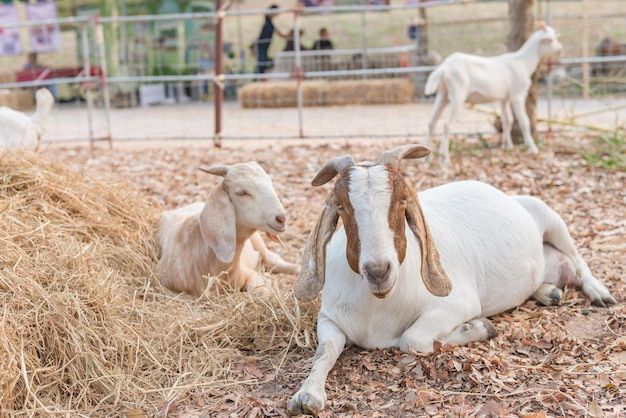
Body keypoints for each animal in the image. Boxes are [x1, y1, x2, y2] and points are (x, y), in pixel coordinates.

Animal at [288, 143, 616, 414]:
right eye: (341, 206)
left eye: (401, 202)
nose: (378, 271)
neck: (377, 307)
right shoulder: (330, 318)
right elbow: (325, 351)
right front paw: (307, 396)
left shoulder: (457, 304)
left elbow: (413, 339)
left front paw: (479, 327)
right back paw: (548, 292)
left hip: (550, 217)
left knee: (577, 259)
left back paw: (599, 292)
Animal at [424, 22, 560, 163]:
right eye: (551, 40)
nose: (560, 49)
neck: (523, 62)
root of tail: (444, 68)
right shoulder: (517, 95)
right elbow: (524, 121)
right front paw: (532, 148)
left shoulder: (504, 98)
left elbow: (507, 120)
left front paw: (508, 147)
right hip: (458, 94)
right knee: (447, 124)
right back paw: (445, 158)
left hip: (442, 94)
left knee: (431, 122)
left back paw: (428, 157)